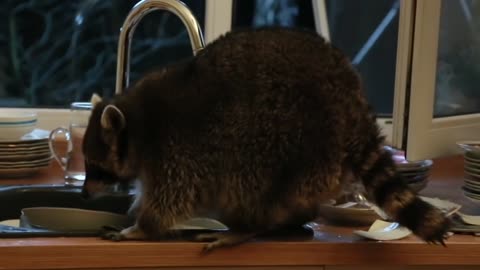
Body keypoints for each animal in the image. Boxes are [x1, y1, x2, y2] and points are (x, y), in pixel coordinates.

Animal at [82, 27, 450, 251]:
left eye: (96, 166)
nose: (84, 193)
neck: (137, 123)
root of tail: (352, 104)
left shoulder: (175, 150)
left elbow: (170, 199)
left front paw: (141, 227)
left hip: (289, 139)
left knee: (246, 186)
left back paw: (245, 228)